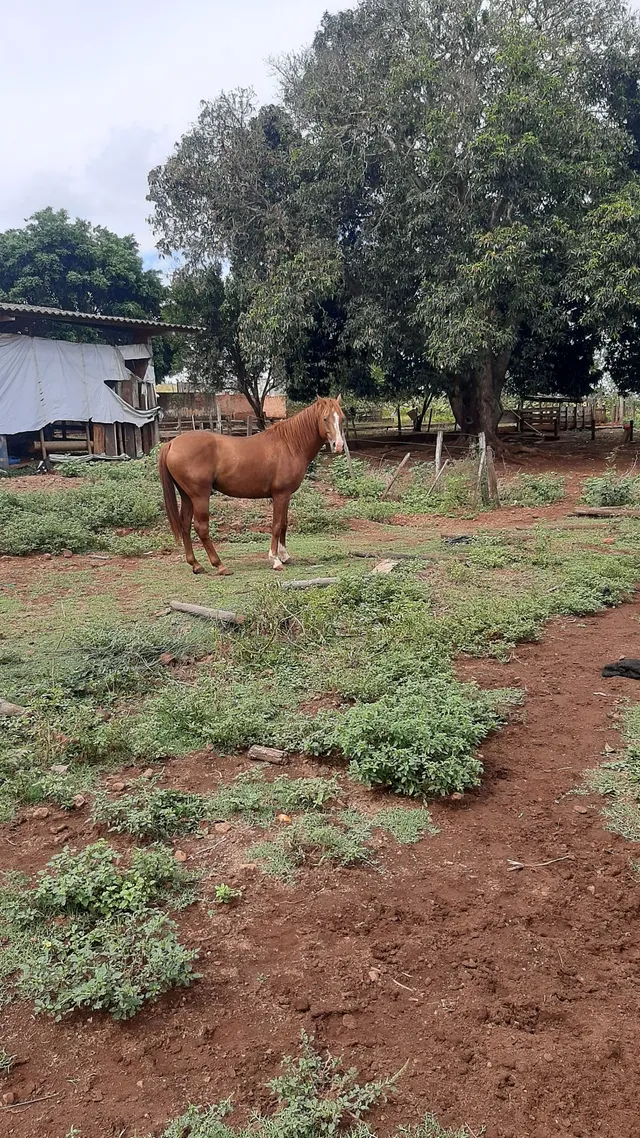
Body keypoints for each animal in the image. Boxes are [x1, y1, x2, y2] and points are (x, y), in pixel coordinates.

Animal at [158, 396, 346, 575]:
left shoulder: (286, 496)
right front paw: (275, 560)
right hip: (200, 496)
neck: (290, 444)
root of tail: (172, 443)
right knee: (201, 527)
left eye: (342, 418)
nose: (338, 446)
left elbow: (284, 524)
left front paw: (285, 556)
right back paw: (220, 565)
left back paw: (196, 565)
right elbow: (277, 525)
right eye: (325, 418)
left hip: (187, 496)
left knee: (185, 526)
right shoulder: (281, 495)